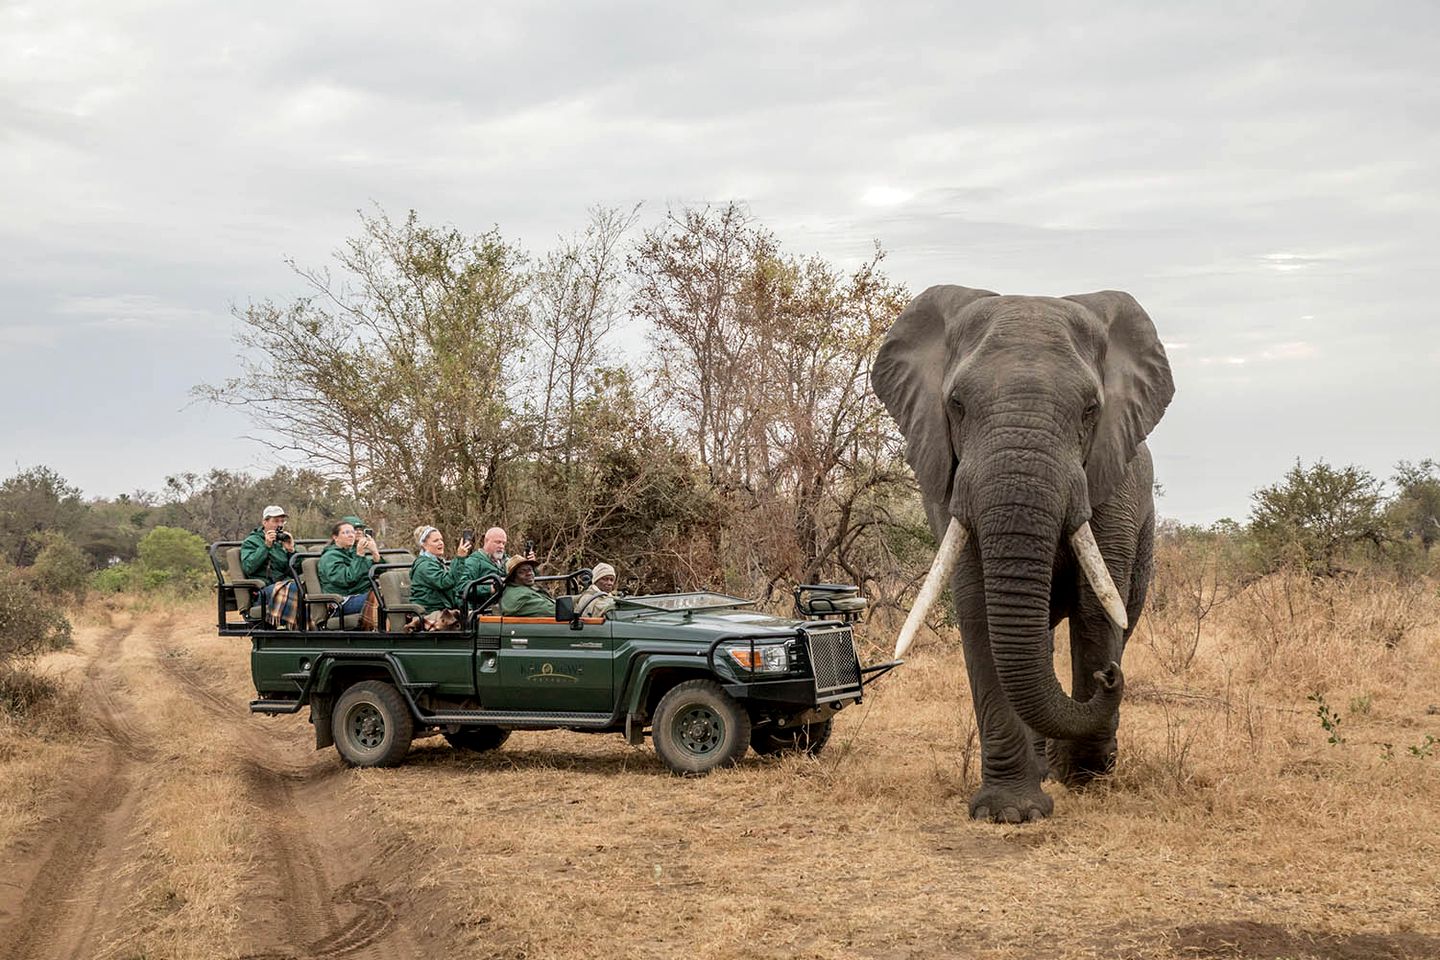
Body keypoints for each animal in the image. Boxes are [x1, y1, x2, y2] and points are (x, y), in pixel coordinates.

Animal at [869, 283, 1175, 817]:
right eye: (956, 405)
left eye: (1090, 410)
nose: (1110, 677)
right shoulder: (948, 482)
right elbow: (977, 609)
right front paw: (1009, 811)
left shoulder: (1112, 480)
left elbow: (1097, 610)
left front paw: (1085, 774)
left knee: (1119, 614)